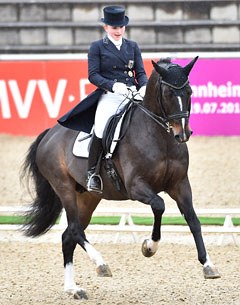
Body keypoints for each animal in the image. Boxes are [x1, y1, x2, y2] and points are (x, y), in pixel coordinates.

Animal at [21, 56, 220, 296]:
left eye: (189, 91)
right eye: (168, 94)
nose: (183, 134)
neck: (160, 137)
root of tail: (49, 134)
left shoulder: (180, 184)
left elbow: (193, 219)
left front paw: (208, 265)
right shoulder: (136, 187)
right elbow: (159, 205)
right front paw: (149, 247)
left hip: (87, 197)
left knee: (68, 235)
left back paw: (73, 289)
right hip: (64, 188)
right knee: (75, 230)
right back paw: (101, 264)